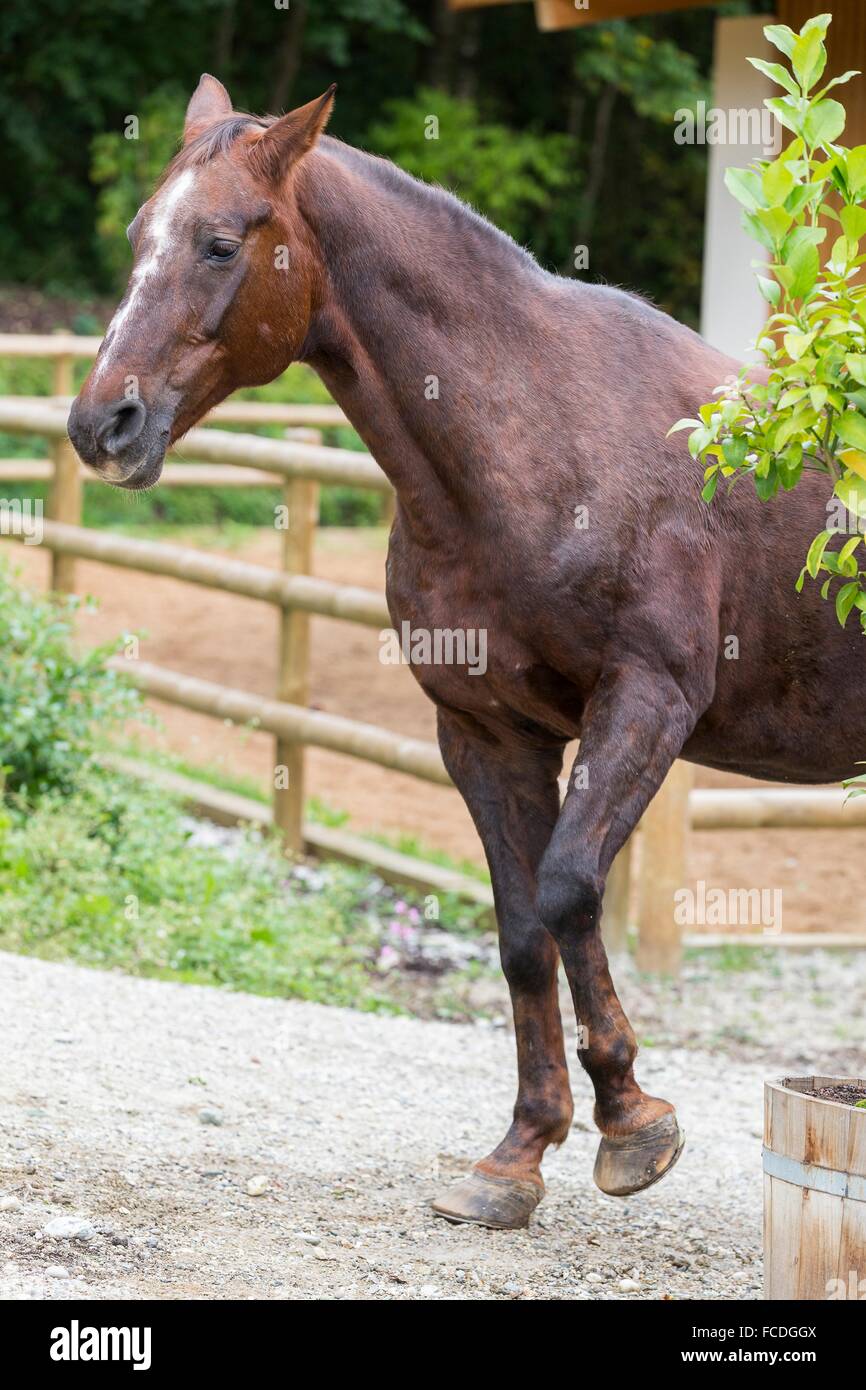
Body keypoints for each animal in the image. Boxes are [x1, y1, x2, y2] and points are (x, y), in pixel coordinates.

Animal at [68, 77, 864, 1231]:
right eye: (139, 235)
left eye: (219, 244)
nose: (103, 424)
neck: (528, 440)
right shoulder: (486, 733)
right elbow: (522, 928)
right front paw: (521, 1156)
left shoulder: (646, 702)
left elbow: (570, 888)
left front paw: (634, 1124)